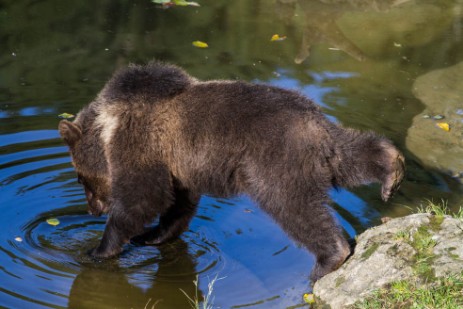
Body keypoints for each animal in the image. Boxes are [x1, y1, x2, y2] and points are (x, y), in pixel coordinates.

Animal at [59, 61, 404, 280]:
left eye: (80, 177)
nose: (92, 209)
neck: (109, 128)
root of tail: (314, 122)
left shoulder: (141, 143)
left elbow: (143, 197)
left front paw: (99, 249)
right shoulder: (179, 164)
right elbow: (177, 204)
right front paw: (151, 235)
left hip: (274, 161)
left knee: (293, 206)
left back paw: (328, 258)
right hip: (323, 151)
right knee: (350, 157)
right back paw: (392, 170)